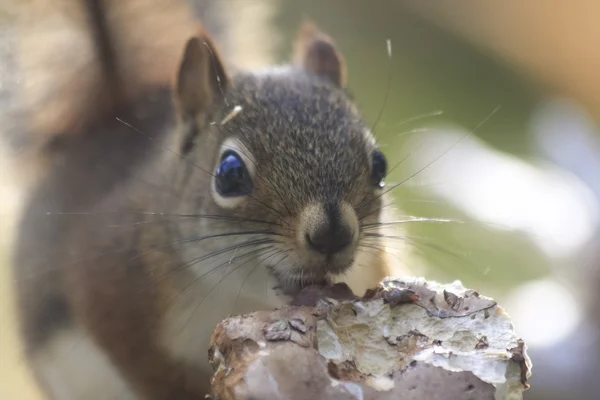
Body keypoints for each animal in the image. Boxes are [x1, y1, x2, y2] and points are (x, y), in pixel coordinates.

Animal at [12, 0, 408, 400]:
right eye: (229, 173)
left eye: (379, 164)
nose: (332, 235)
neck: (245, 297)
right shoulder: (109, 281)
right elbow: (146, 368)